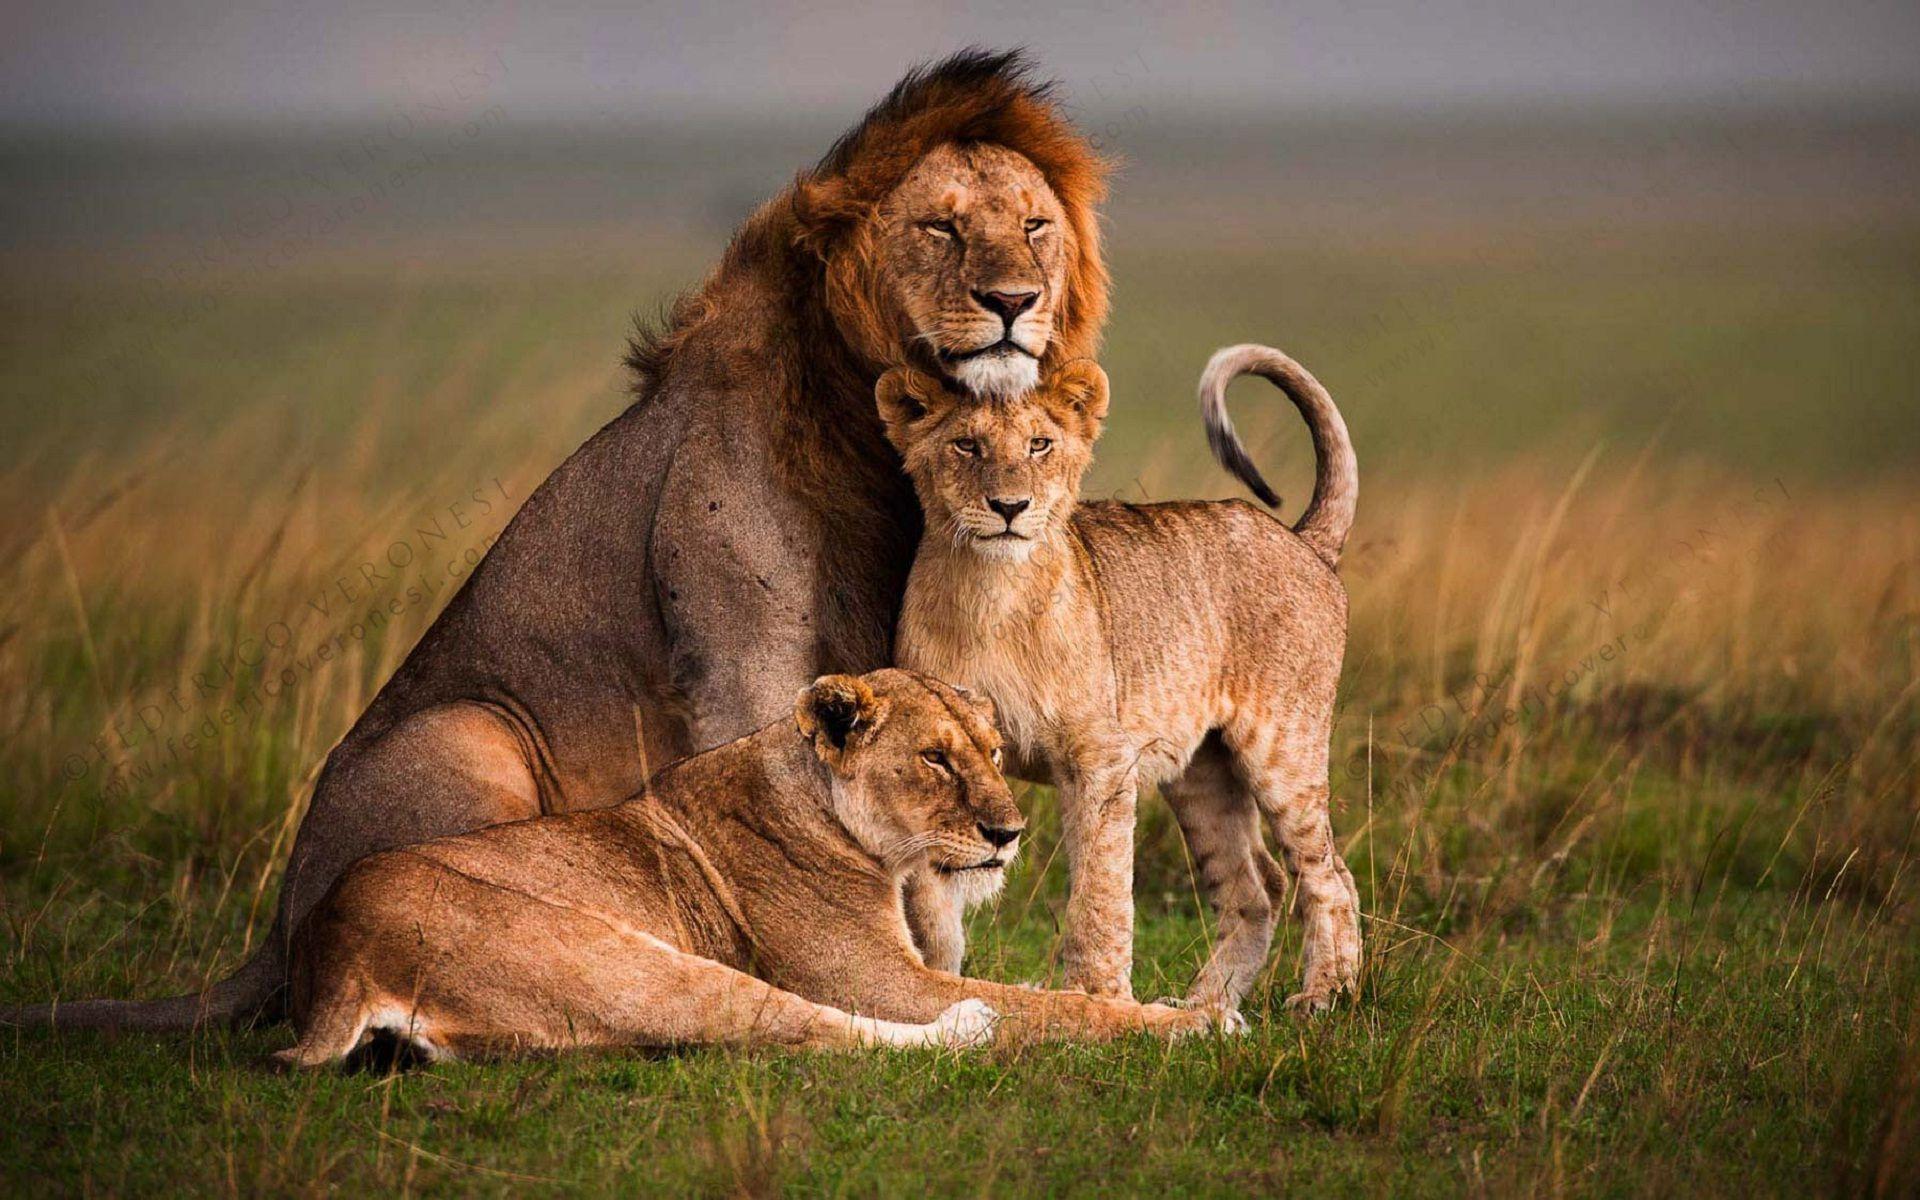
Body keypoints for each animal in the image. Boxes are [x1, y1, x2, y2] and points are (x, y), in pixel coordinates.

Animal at [4, 50, 1111, 1032]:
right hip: (469, 733)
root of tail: (275, 933)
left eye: (1033, 227)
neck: (867, 425)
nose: (1012, 302)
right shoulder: (742, 658)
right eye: (940, 227)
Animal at [276, 669, 1219, 1066]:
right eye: (935, 759)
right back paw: (968, 1028)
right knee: (803, 1027)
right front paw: (1192, 1021)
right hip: (621, 959)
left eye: (991, 751)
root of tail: (333, 951)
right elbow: (1055, 1007)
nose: (1010, 831)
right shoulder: (877, 979)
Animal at [878, 346, 1362, 1014]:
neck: (991, 593)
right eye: (966, 445)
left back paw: (1325, 994)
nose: (1009, 508)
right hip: (1200, 772)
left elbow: (1101, 892)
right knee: (1255, 886)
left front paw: (1098, 996)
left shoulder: (1100, 759)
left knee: (1329, 874)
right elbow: (931, 904)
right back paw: (1205, 1007)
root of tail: (1302, 540)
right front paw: (937, 983)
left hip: (1284, 747)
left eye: (1039, 444)